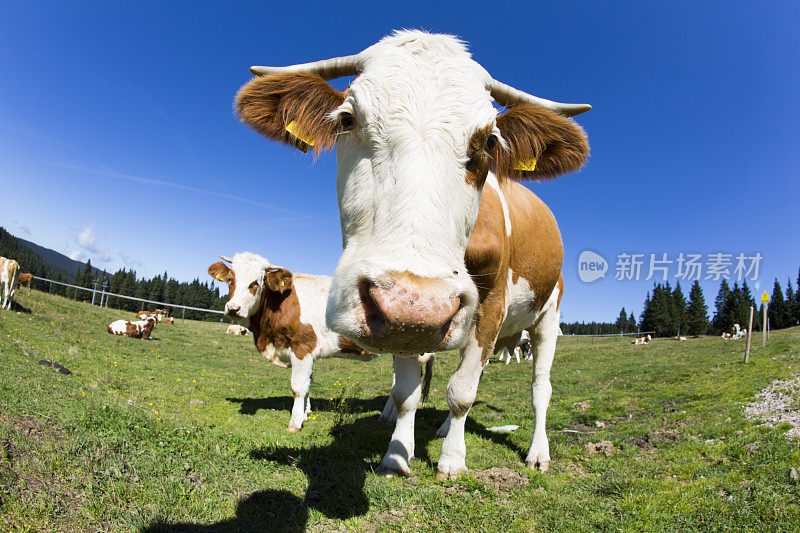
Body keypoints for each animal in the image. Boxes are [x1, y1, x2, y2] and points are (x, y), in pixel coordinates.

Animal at [206, 252, 432, 432]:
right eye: (230, 279)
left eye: (255, 282)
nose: (233, 308)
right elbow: (308, 383)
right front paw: (306, 413)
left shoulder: (301, 347)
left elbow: (298, 386)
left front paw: (295, 422)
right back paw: (387, 416)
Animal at [234, 31, 592, 476]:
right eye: (347, 119)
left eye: (489, 141)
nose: (417, 302)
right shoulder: (399, 324)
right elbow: (408, 391)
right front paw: (396, 454)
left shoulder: (490, 305)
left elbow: (462, 391)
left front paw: (453, 460)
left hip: (547, 317)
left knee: (540, 388)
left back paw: (537, 451)